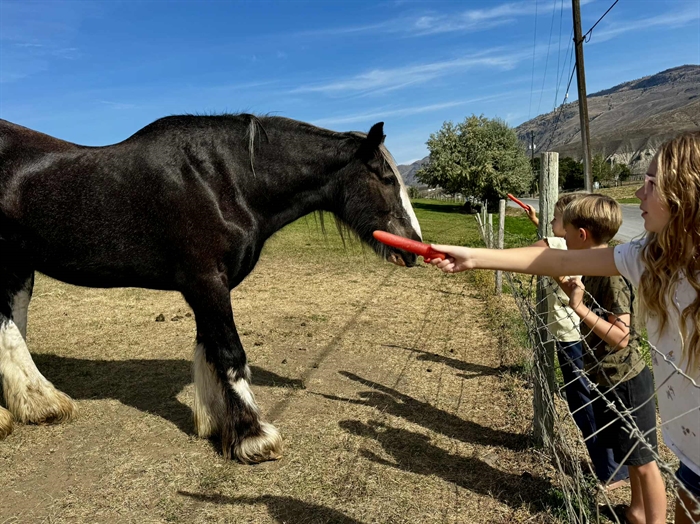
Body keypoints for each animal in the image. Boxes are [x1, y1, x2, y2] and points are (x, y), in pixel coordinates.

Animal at [0, 114, 422, 463]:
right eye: (386, 179)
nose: (414, 247)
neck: (220, 179)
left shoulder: (206, 289)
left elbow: (208, 350)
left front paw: (220, 425)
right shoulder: (206, 282)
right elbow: (229, 354)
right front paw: (253, 436)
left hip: (19, 265)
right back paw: (36, 406)